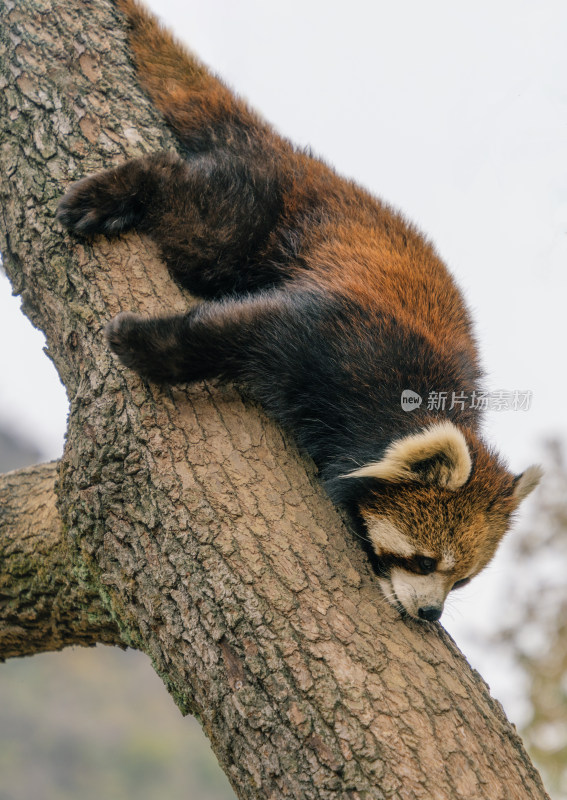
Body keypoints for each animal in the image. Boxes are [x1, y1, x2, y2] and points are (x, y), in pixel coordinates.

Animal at [56, 0, 540, 620]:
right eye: (424, 561)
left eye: (462, 583)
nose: (430, 614)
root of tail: (302, 161)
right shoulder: (346, 338)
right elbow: (251, 330)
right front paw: (142, 345)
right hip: (258, 218)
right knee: (194, 210)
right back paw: (115, 195)